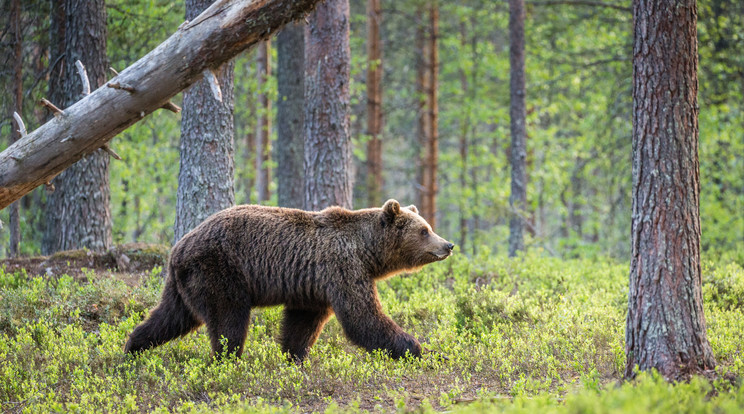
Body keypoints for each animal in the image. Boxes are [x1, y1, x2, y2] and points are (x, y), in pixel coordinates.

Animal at [125, 199, 454, 360]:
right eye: (424, 230)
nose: (448, 244)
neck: (368, 252)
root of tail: (178, 247)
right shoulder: (343, 269)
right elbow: (363, 317)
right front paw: (421, 351)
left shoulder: (313, 285)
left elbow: (302, 323)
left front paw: (295, 357)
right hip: (219, 270)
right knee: (229, 321)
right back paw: (227, 361)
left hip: (184, 283)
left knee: (170, 317)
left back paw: (132, 349)